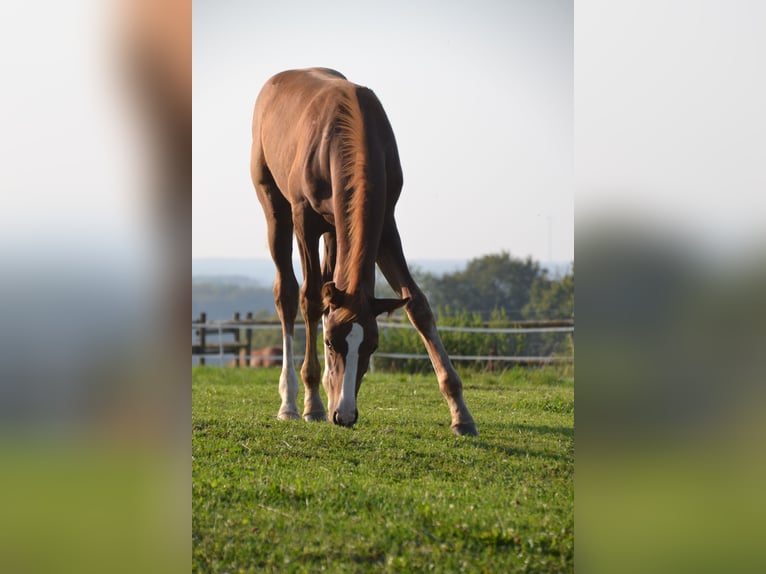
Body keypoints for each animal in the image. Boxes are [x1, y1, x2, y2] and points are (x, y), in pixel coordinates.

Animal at [252, 68, 480, 436]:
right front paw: (313, 403)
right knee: (286, 292)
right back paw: (290, 402)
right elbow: (310, 299)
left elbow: (418, 304)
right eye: (331, 343)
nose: (344, 415)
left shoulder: (385, 224)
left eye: (372, 345)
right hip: (275, 207)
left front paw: (461, 413)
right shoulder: (305, 219)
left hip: (335, 230)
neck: (351, 126)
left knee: (329, 280)